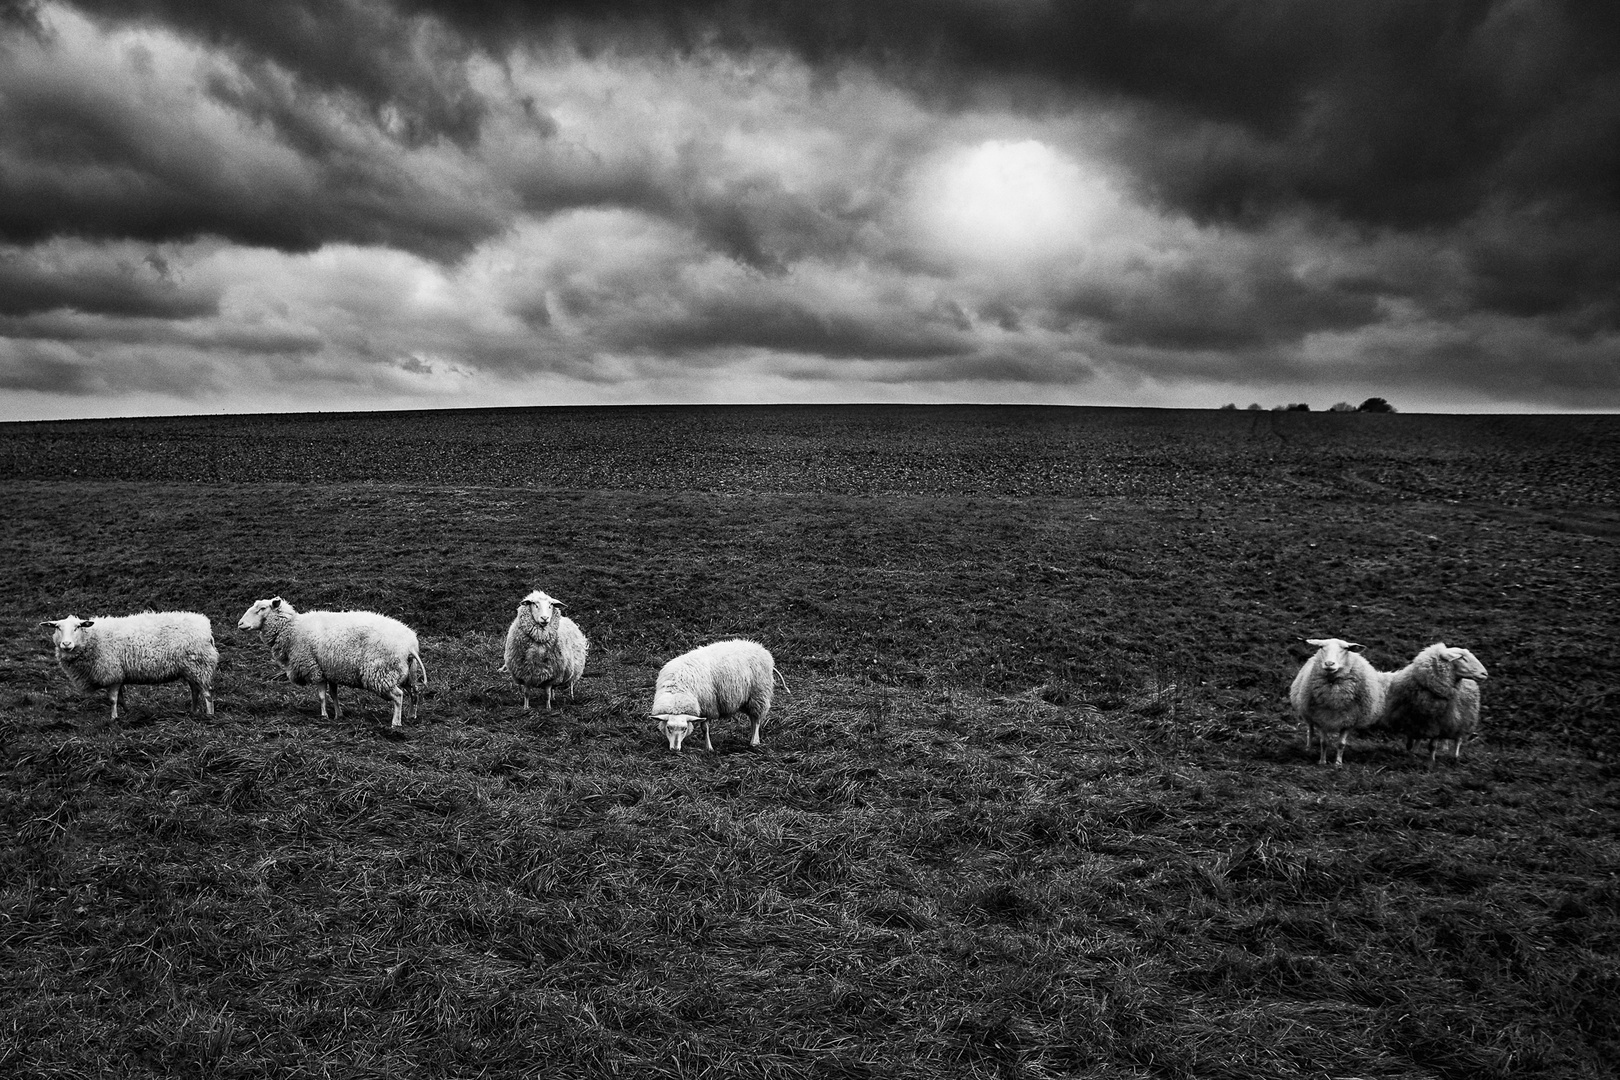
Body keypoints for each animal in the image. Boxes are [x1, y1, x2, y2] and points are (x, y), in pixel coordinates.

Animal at [39, 612, 217, 722]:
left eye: (78, 627)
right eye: (57, 627)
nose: (66, 644)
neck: (93, 638)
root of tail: (206, 628)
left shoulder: (112, 673)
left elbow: (112, 699)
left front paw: (113, 719)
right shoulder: (118, 675)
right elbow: (121, 698)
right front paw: (126, 713)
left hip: (200, 665)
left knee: (207, 692)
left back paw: (209, 715)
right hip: (191, 668)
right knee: (195, 690)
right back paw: (193, 711)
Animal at [238, 595, 430, 731]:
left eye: (262, 608)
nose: (240, 624)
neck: (293, 629)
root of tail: (410, 645)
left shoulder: (314, 668)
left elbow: (322, 696)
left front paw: (324, 716)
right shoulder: (329, 671)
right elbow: (333, 694)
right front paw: (338, 715)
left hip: (381, 673)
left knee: (398, 696)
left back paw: (396, 723)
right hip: (408, 674)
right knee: (415, 693)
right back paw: (411, 716)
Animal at [654, 641, 787, 751]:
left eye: (684, 729)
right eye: (668, 728)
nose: (675, 749)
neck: (677, 692)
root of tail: (761, 649)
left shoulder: (707, 706)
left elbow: (705, 728)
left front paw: (709, 748)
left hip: (759, 695)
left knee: (756, 719)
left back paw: (754, 742)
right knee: (752, 719)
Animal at [1283, 634, 1386, 767]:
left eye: (1346, 648)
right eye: (1321, 647)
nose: (1329, 663)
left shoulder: (1349, 721)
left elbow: (1341, 744)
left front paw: (1338, 763)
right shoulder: (1320, 718)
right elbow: (1324, 742)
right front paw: (1322, 762)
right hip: (1307, 712)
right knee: (1310, 730)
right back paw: (1308, 748)